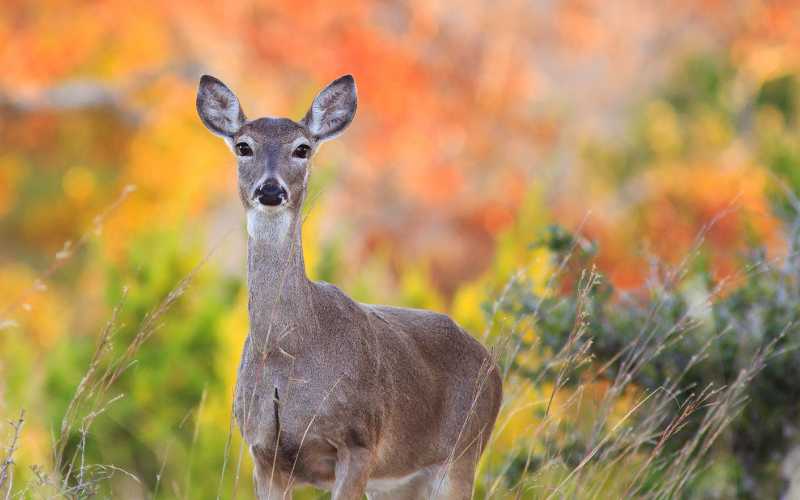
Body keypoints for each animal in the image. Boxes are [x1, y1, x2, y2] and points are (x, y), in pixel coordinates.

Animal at [197, 72, 504, 498]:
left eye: (302, 148)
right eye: (244, 146)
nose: (271, 190)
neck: (290, 350)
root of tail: (493, 368)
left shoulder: (360, 440)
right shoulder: (263, 455)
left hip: (463, 451)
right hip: (401, 481)